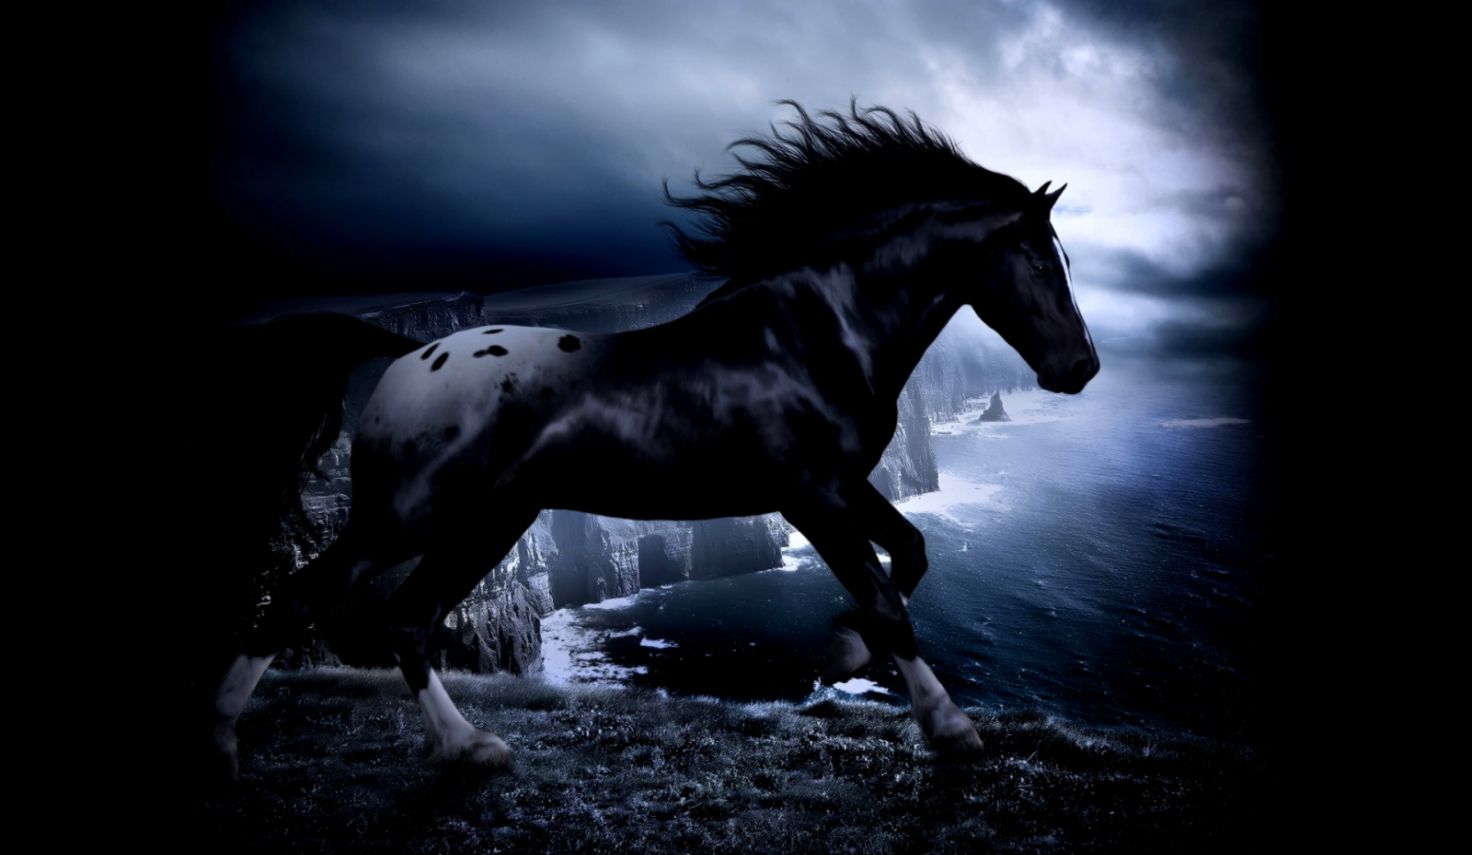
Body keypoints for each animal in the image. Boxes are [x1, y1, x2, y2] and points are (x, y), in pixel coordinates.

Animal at [210, 101, 1099, 777]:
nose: (1083, 367)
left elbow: (910, 551)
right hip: (406, 515)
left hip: (490, 520)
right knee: (305, 597)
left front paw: (845, 648)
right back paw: (228, 738)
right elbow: (886, 594)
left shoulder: (846, 484)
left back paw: (468, 747)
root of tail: (406, 352)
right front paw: (949, 727)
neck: (814, 331)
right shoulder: (811, 494)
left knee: (407, 616)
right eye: (1039, 260)